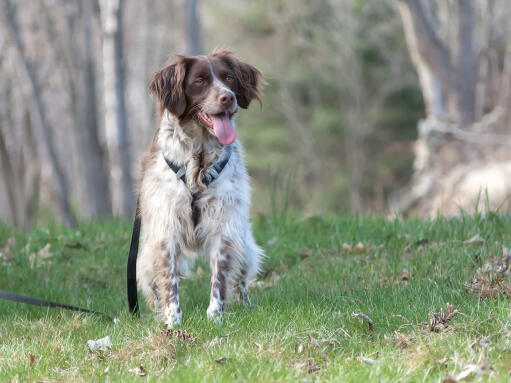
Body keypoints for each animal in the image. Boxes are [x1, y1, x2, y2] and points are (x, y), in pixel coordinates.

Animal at [136, 49, 264, 328]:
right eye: (200, 81)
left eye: (228, 78)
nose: (228, 97)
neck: (199, 160)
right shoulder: (166, 227)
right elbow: (170, 282)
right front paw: (172, 321)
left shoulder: (224, 225)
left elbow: (220, 278)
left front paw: (215, 317)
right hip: (146, 255)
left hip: (243, 242)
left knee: (240, 279)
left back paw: (246, 306)